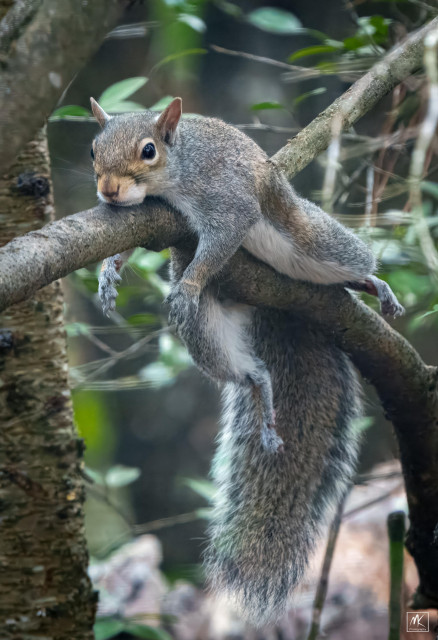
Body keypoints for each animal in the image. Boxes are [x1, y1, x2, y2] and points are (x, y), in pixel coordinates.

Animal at [90, 96, 404, 626]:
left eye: (148, 151)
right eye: (93, 149)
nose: (109, 191)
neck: (178, 171)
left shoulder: (228, 200)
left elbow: (220, 238)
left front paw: (188, 284)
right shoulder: (153, 221)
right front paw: (108, 270)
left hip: (311, 237)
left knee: (349, 260)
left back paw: (372, 284)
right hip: (210, 327)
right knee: (249, 371)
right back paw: (261, 390)